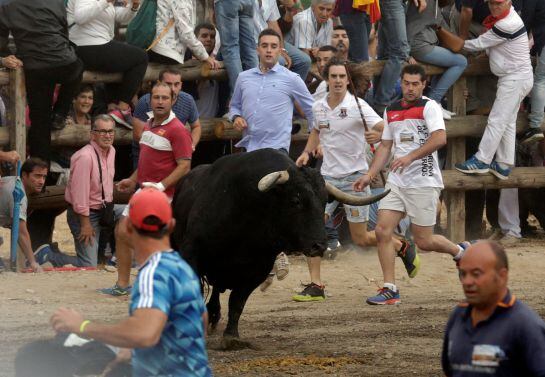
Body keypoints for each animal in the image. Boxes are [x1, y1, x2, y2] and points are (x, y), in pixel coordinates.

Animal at [170, 148, 386, 348]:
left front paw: (231, 337)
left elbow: (237, 302)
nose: (319, 246)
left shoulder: (257, 270)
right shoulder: (191, 255)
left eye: (325, 201)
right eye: (296, 201)